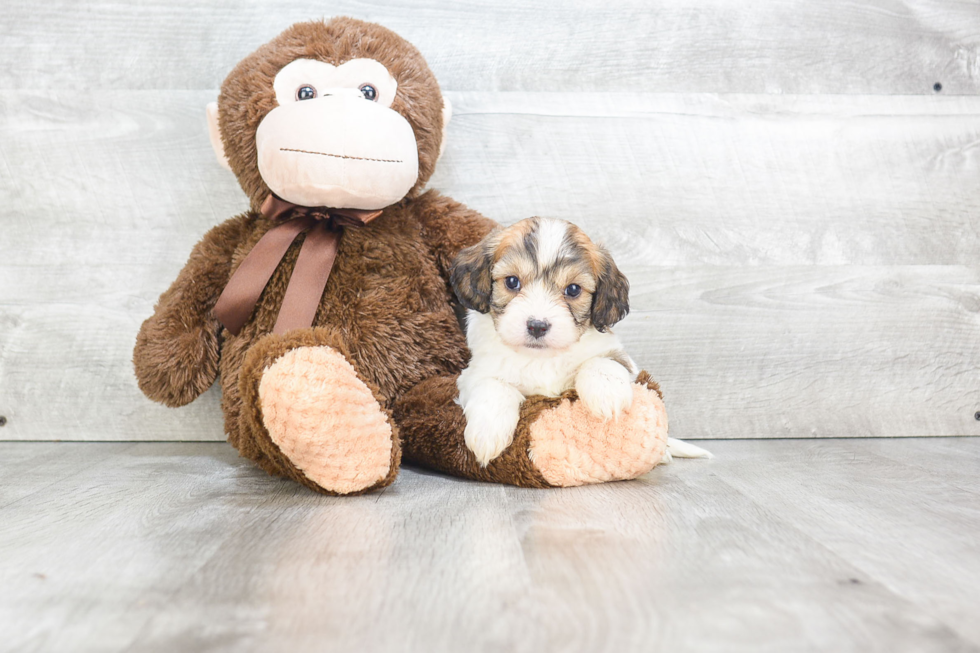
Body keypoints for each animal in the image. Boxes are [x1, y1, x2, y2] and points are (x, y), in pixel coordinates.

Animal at [448, 216, 708, 466]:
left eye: (573, 289)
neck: (542, 359)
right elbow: (493, 385)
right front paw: (487, 433)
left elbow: (602, 362)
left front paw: (607, 393)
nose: (537, 326)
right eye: (512, 282)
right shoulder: (473, 373)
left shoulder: (618, 356)